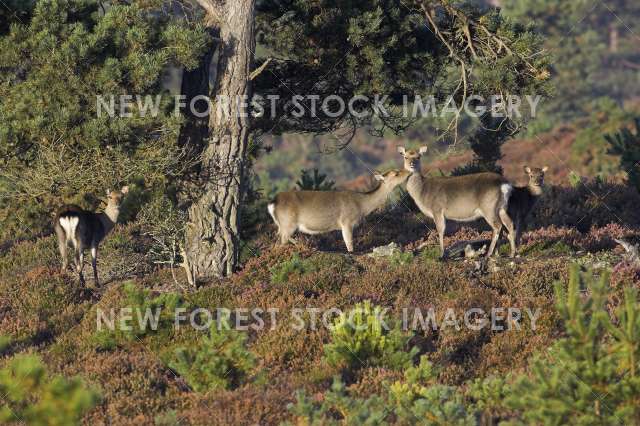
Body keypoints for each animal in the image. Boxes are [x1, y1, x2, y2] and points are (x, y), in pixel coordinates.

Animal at [266, 169, 410, 251]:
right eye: (396, 173)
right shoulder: (346, 222)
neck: (362, 205)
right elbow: (349, 245)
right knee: (281, 241)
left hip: (282, 225)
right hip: (288, 223)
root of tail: (273, 202)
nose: (409, 172)